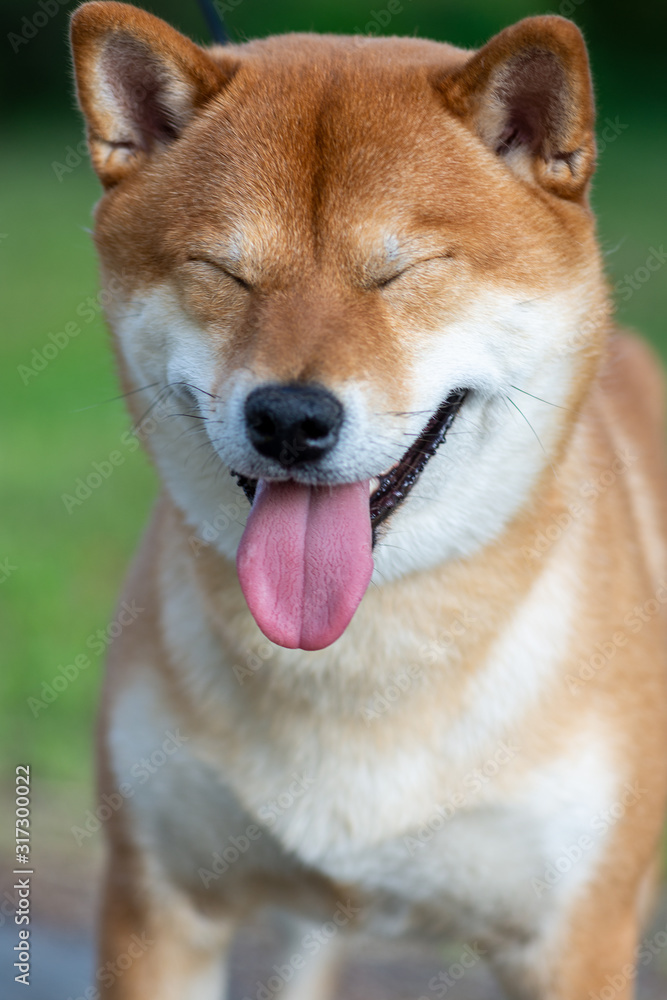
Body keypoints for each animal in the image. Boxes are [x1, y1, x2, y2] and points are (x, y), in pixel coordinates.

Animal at [69, 3, 667, 996]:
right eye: (223, 270)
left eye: (402, 271)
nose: (288, 417)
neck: (356, 661)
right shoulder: (156, 906)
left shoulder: (569, 940)